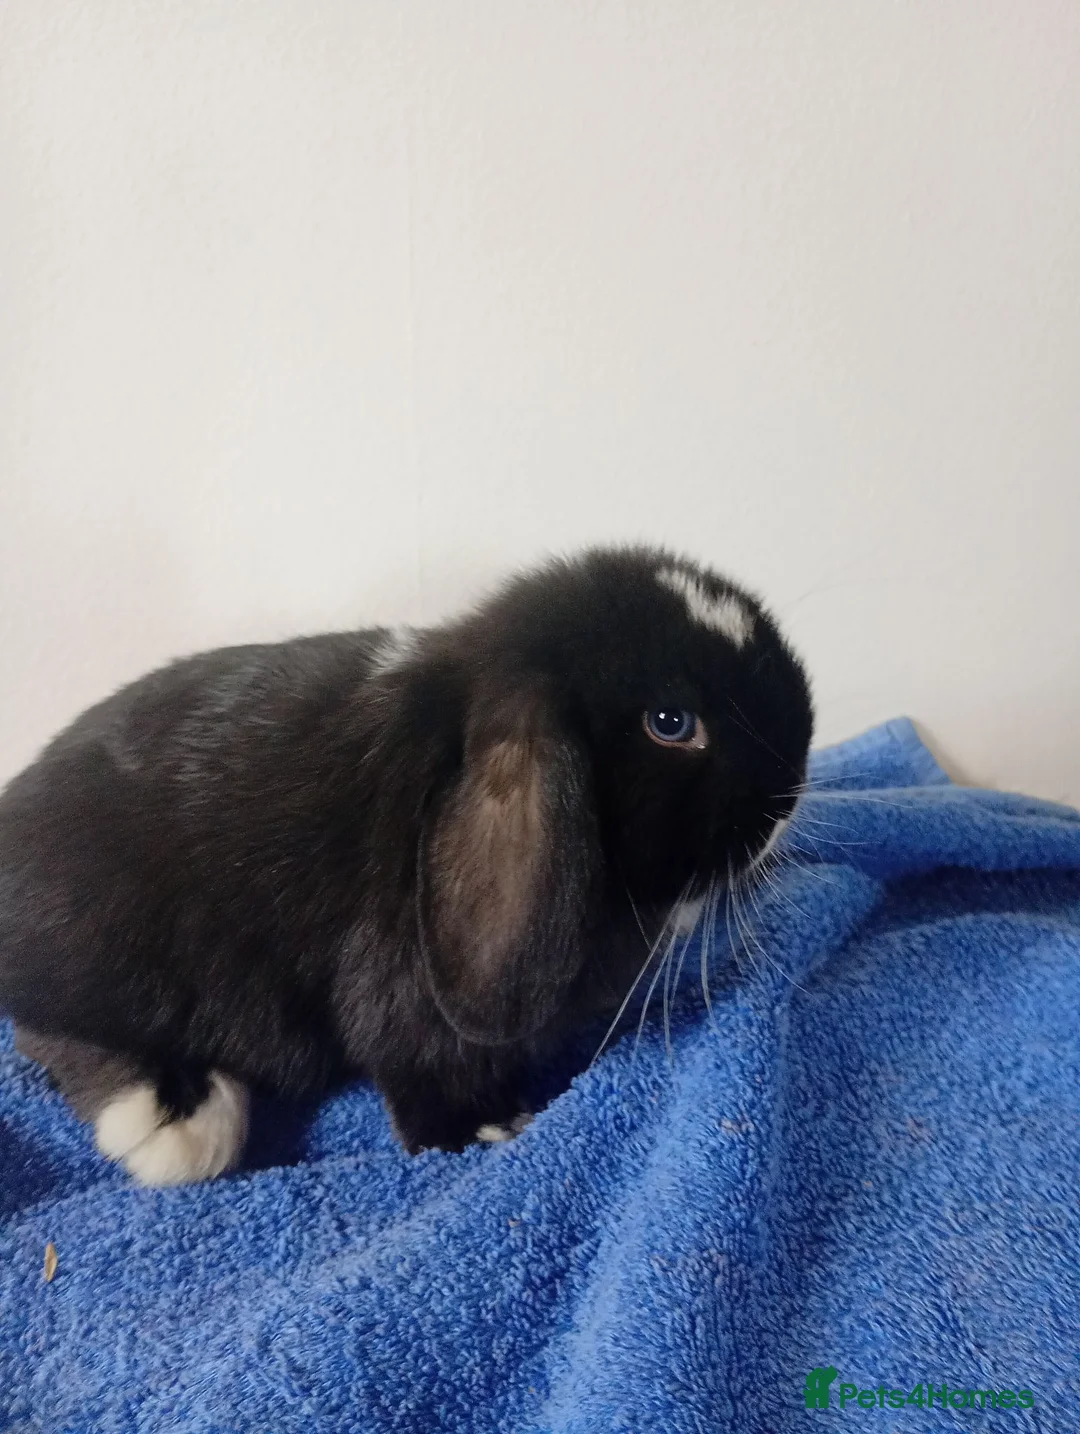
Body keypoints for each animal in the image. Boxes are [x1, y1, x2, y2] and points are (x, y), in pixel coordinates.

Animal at [0, 546, 813, 1185]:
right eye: (671, 723)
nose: (791, 788)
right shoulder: (405, 997)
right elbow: (428, 1071)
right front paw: (490, 1130)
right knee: (54, 1032)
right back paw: (177, 1119)